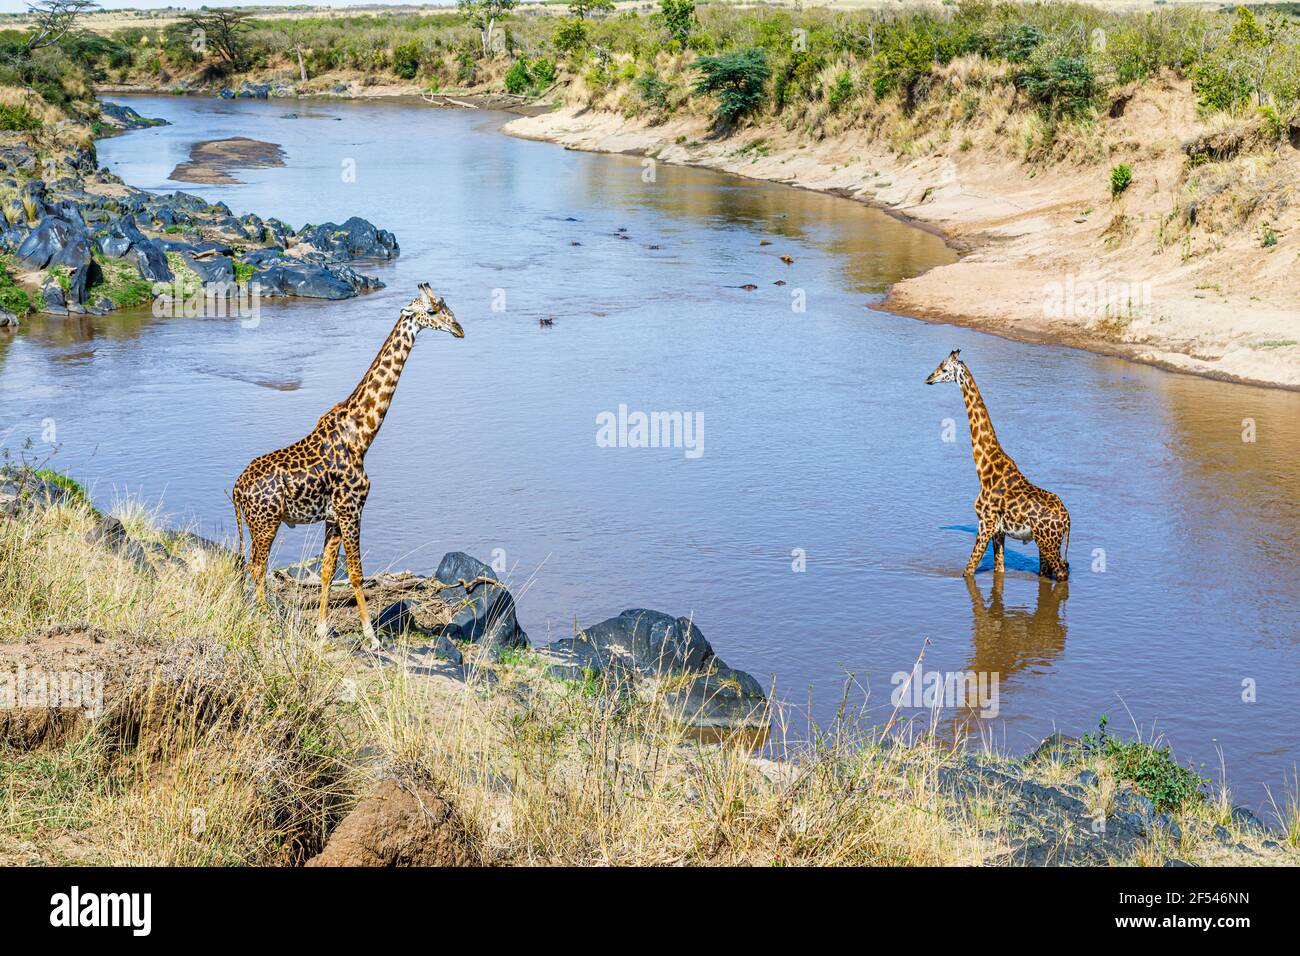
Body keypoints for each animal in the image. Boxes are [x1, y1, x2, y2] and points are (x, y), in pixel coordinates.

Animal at [232, 283, 464, 646]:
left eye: (445, 306)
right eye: (432, 310)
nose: (459, 329)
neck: (362, 434)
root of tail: (235, 489)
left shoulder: (332, 516)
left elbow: (328, 571)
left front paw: (322, 629)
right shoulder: (352, 509)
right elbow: (356, 573)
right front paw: (371, 636)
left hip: (258, 524)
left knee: (252, 566)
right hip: (265, 523)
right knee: (257, 567)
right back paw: (265, 618)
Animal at [925, 350, 1070, 580]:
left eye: (945, 368)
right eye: (938, 365)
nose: (929, 378)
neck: (985, 468)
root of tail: (1067, 519)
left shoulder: (985, 524)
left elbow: (968, 570)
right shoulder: (998, 531)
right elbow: (999, 570)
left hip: (1049, 542)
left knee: (1063, 574)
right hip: (1044, 543)